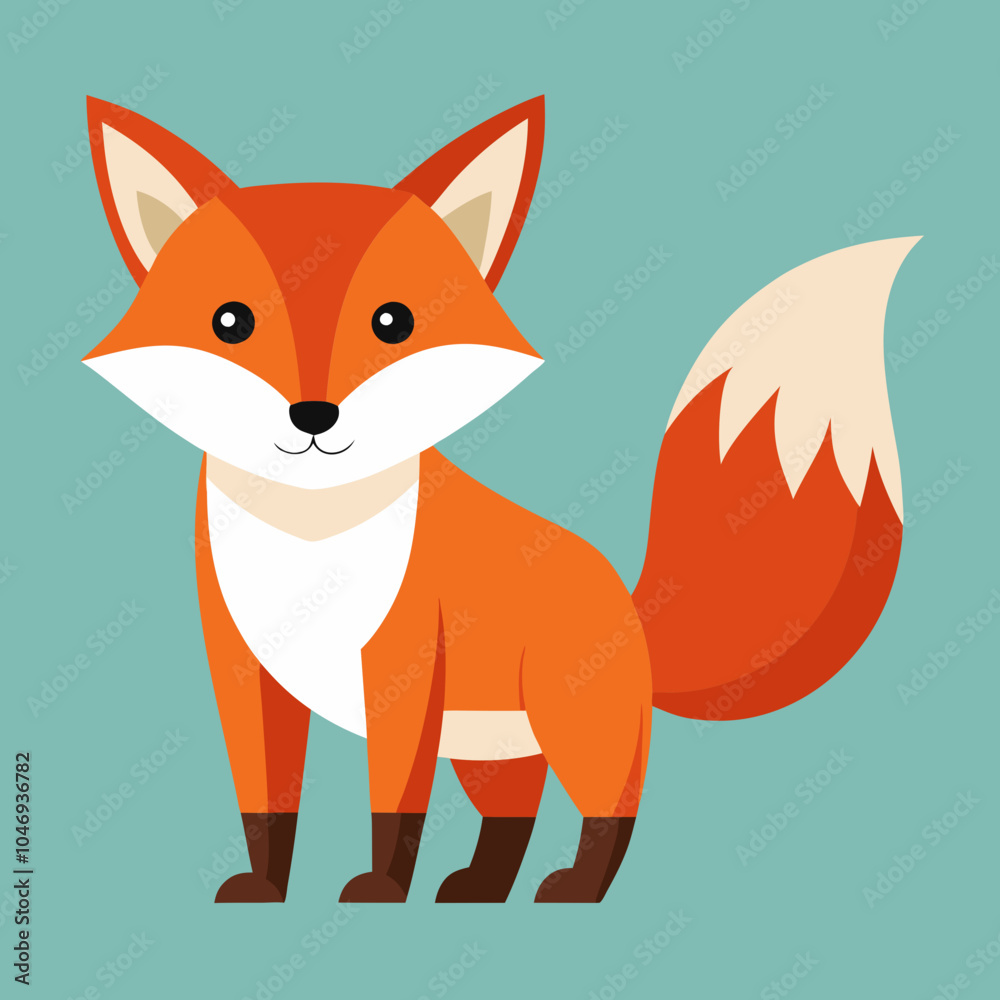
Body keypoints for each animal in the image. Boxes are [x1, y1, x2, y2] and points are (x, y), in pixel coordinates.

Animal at [83, 94, 916, 904]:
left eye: (393, 322)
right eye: (230, 321)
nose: (314, 416)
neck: (314, 536)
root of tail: (631, 602)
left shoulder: (403, 671)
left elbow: (393, 808)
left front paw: (381, 889)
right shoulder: (245, 672)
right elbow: (265, 809)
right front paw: (263, 886)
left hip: (572, 723)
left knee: (610, 812)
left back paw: (578, 888)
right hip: (490, 747)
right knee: (514, 814)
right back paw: (481, 887)